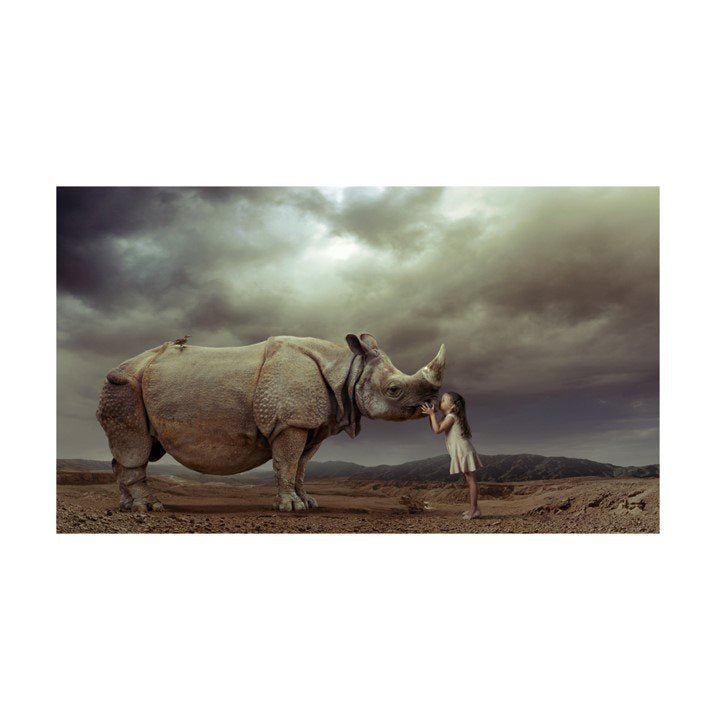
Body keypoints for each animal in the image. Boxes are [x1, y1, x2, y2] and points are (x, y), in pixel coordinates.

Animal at [95, 332, 446, 512]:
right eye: (394, 389)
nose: (430, 405)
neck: (347, 371)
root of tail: (118, 366)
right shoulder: (290, 421)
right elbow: (288, 462)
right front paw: (291, 507)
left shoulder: (313, 424)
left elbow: (301, 465)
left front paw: (308, 502)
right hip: (123, 386)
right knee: (136, 447)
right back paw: (150, 508)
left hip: (133, 387)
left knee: (135, 449)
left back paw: (127, 507)